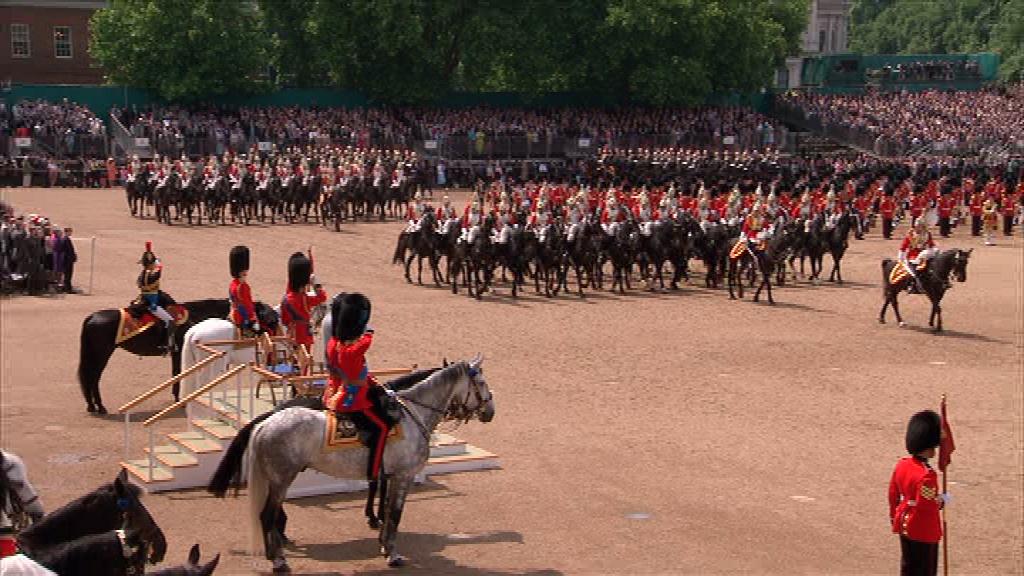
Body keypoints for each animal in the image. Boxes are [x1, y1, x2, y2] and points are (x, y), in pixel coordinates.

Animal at [205, 356, 493, 565]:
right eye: (481, 383)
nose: (490, 411)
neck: (412, 414)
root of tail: (266, 422)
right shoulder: (403, 476)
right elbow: (395, 514)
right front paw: (393, 553)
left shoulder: (389, 475)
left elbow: (386, 508)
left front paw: (382, 542)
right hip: (281, 479)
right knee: (268, 515)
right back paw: (278, 560)